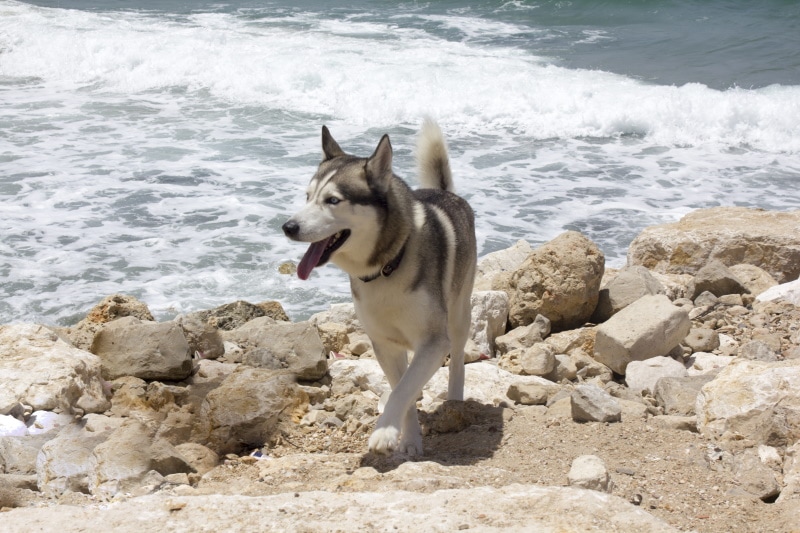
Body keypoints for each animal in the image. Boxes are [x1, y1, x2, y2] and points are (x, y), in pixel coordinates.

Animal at [282, 119, 476, 454]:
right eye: (307, 196)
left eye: (333, 200)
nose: (288, 227)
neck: (387, 266)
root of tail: (444, 192)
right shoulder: (385, 344)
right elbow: (403, 389)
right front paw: (408, 439)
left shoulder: (434, 342)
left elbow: (404, 389)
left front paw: (384, 432)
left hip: (459, 315)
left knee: (458, 360)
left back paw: (454, 399)